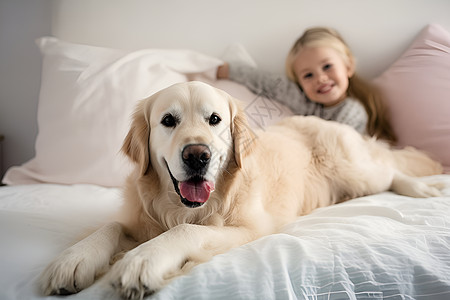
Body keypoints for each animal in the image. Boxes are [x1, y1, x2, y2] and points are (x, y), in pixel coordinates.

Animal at [39, 81, 442, 300]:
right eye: (168, 121)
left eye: (215, 119)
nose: (197, 155)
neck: (180, 206)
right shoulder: (142, 218)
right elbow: (111, 226)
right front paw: (74, 258)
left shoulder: (247, 229)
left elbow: (186, 232)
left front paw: (143, 260)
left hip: (356, 170)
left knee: (389, 171)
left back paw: (421, 186)